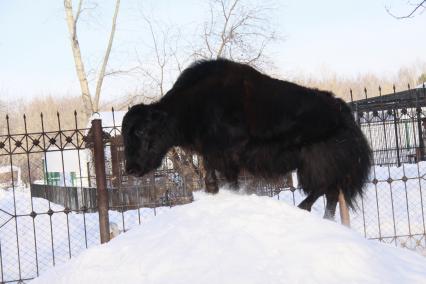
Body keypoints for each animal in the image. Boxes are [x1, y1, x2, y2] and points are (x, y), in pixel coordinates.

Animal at [121, 58, 372, 219]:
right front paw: (213, 190)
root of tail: (344, 112)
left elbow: (229, 179)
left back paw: (302, 208)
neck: (190, 107)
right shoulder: (213, 153)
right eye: (125, 135)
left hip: (315, 162)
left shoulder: (229, 155)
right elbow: (210, 173)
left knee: (324, 187)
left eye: (141, 131)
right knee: (331, 194)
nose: (131, 169)